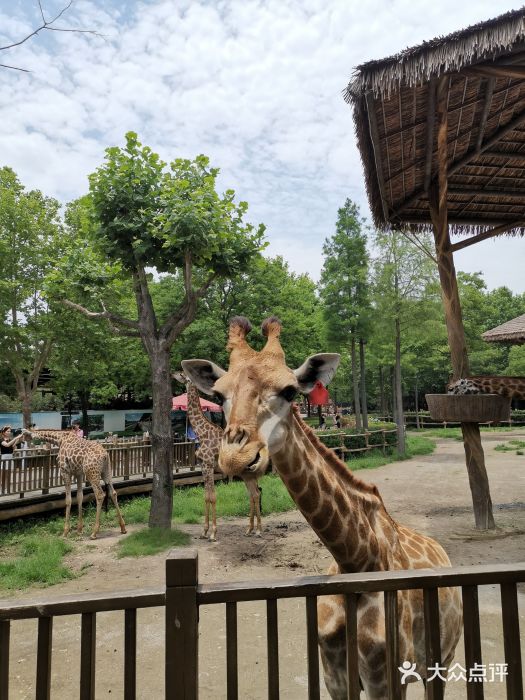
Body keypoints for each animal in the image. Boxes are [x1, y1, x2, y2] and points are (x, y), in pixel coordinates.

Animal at [173, 372, 262, 540]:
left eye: (183, 375)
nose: (173, 374)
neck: (202, 432)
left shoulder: (208, 465)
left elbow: (212, 497)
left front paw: (213, 533)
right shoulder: (204, 466)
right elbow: (206, 496)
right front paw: (204, 532)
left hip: (248, 473)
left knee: (255, 494)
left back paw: (258, 530)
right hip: (247, 473)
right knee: (254, 494)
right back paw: (250, 530)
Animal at [182, 318, 460, 700]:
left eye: (289, 391)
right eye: (219, 395)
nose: (237, 458)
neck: (357, 560)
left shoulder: (386, 678)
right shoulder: (335, 675)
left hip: (442, 659)